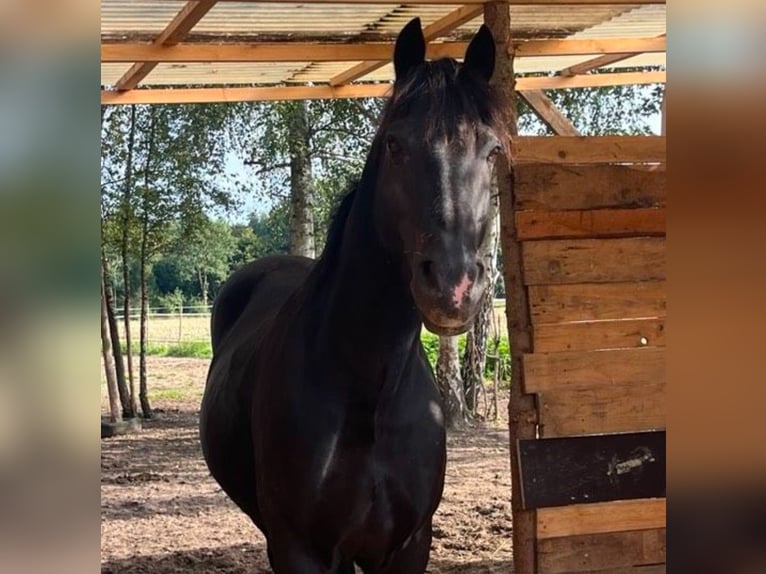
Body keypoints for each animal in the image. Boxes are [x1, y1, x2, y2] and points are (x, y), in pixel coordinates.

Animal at [201, 18, 508, 574]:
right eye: (394, 145)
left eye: (492, 150)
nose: (452, 286)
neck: (368, 393)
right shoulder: (299, 548)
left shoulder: (409, 545)